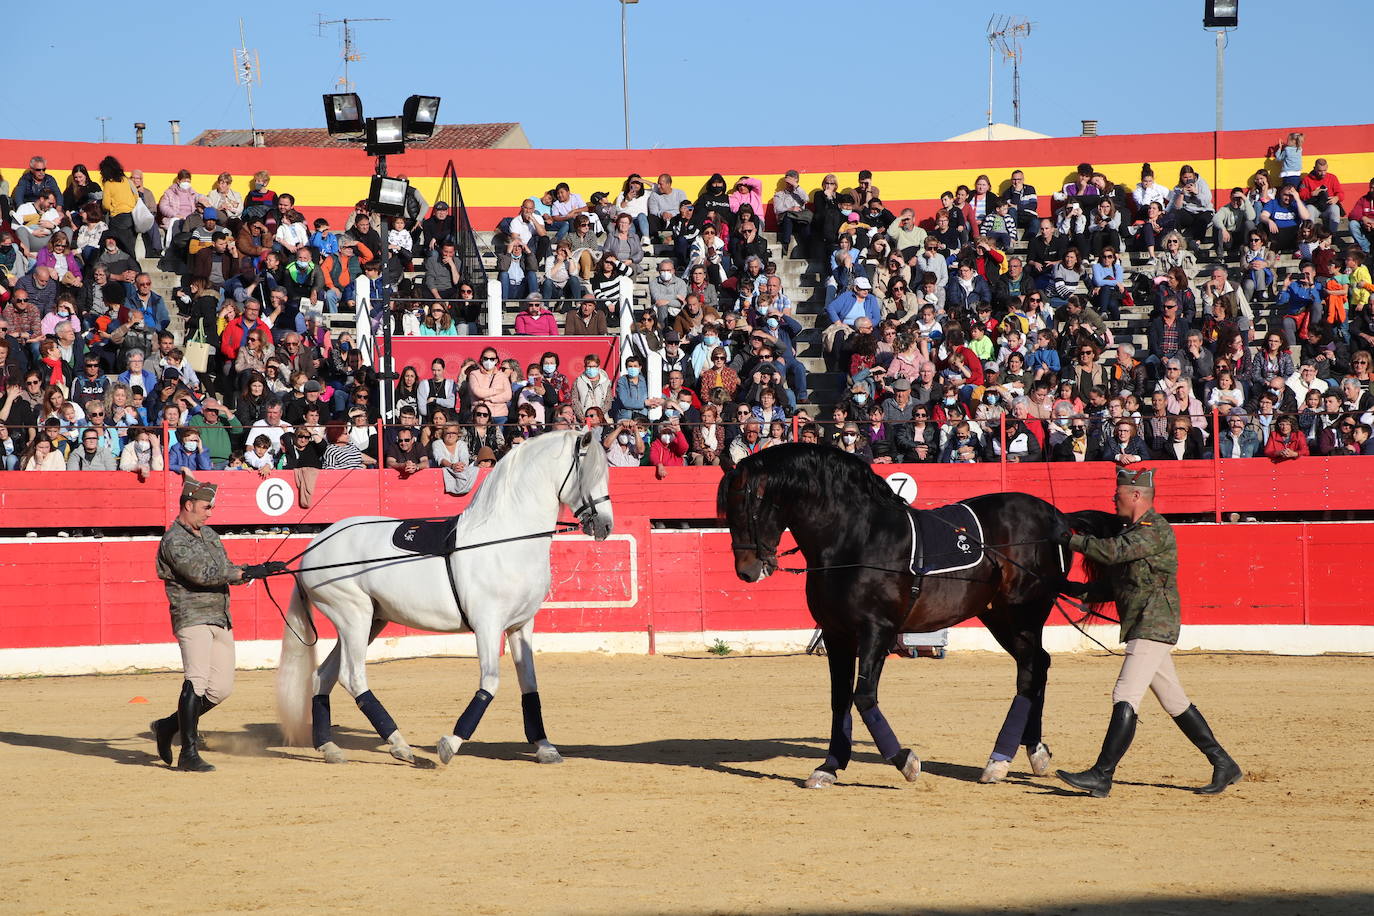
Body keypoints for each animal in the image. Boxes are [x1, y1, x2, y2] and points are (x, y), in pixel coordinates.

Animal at [278, 431, 612, 769]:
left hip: (370, 621)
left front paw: (545, 747)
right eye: (589, 473)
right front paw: (449, 744)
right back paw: (400, 746)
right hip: (353, 616)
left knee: (324, 676)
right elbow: (489, 683)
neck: (504, 538)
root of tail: (313, 547)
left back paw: (329, 747)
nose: (605, 526)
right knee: (352, 676)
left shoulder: (521, 626)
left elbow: (530, 684)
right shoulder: (488, 626)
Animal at [719, 444, 1115, 791]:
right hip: (1000, 617)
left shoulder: (876, 631)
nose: (746, 571)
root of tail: (1057, 518)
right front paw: (829, 767)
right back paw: (1032, 753)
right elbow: (839, 699)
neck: (855, 538)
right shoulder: (836, 634)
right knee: (1037, 666)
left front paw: (905, 761)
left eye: (748, 504)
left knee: (1031, 672)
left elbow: (863, 697)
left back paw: (1000, 761)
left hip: (1025, 614)